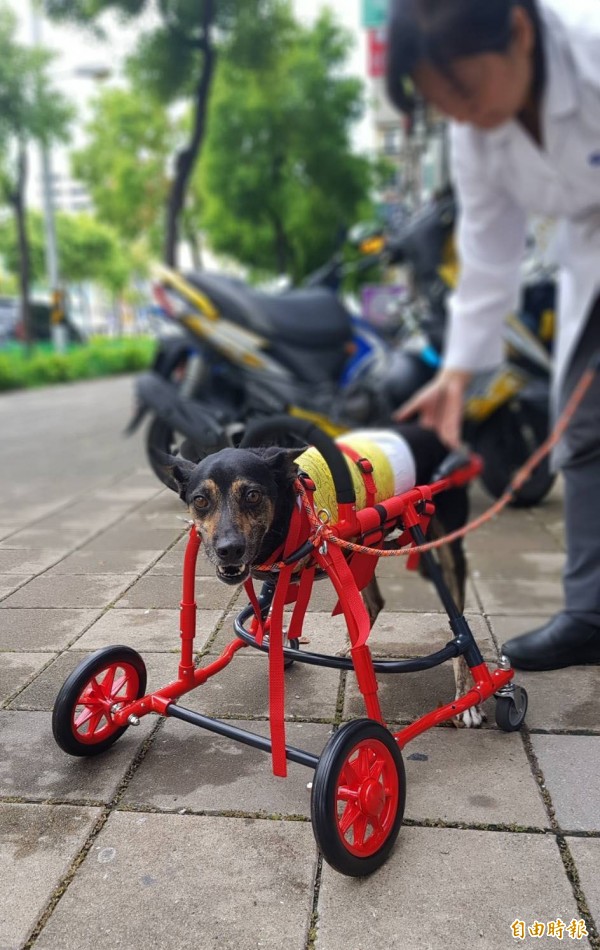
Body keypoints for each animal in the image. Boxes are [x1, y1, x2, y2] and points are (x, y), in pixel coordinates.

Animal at [158, 426, 482, 728]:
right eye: (200, 500)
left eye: (253, 495)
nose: (229, 550)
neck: (292, 509)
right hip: (363, 550)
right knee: (375, 602)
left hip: (442, 546)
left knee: (459, 625)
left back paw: (469, 699)